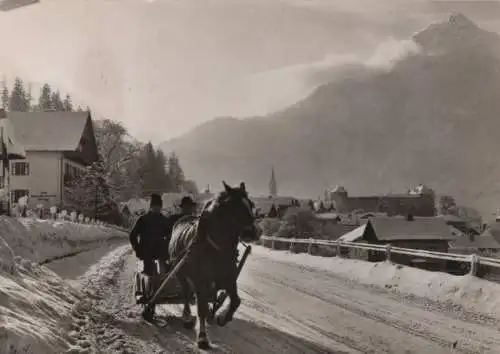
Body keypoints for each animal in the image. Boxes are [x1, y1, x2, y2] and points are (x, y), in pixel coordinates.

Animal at [168, 180, 262, 348]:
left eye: (250, 204)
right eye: (236, 208)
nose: (257, 232)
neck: (216, 247)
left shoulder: (228, 277)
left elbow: (236, 301)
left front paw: (222, 318)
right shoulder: (200, 280)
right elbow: (201, 308)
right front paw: (202, 337)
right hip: (179, 273)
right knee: (186, 294)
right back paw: (187, 316)